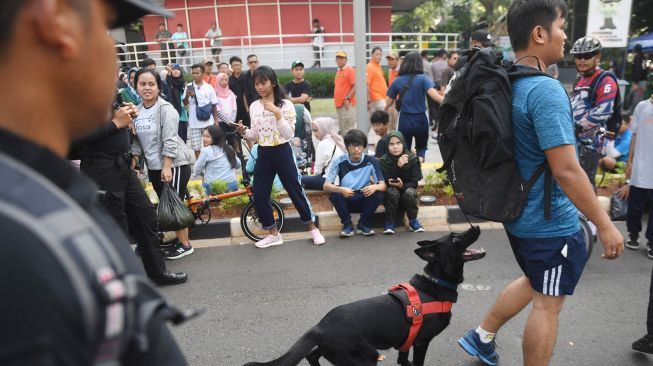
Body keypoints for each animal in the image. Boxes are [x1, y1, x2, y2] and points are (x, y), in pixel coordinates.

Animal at [243, 226, 484, 366]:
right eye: (455, 239)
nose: (477, 226)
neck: (434, 284)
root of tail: (320, 326)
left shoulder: (407, 342)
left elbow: (403, 360)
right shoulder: (421, 341)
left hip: (337, 351)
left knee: (311, 355)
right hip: (365, 357)